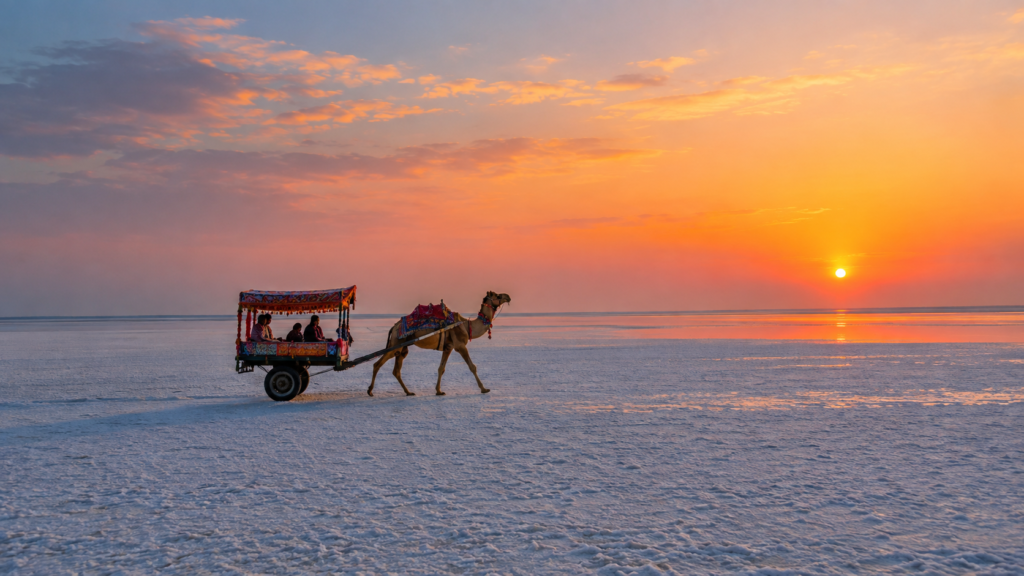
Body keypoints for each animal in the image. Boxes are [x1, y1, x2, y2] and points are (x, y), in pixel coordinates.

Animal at [368, 291, 511, 397]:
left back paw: (408, 392)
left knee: (396, 370)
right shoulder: (460, 346)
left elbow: (441, 368)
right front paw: (484, 389)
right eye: (497, 295)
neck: (467, 326)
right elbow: (472, 367)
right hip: (395, 344)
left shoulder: (448, 347)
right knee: (377, 364)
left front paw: (439, 391)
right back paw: (370, 391)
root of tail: (394, 327)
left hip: (402, 348)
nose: (508, 296)